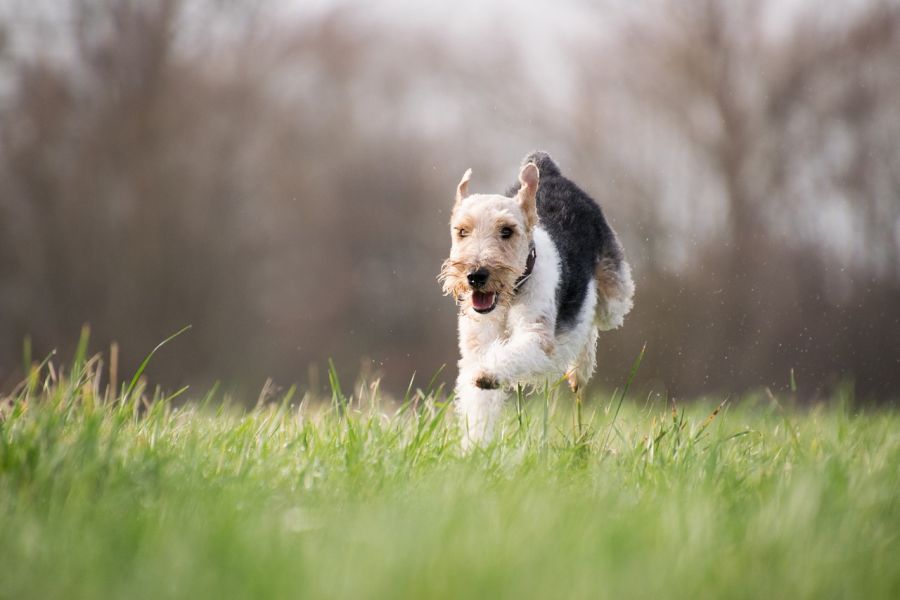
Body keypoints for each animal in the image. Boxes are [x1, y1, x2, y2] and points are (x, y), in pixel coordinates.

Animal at [436, 152, 632, 448]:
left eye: (507, 230)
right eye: (461, 231)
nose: (476, 275)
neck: (510, 296)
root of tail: (548, 169)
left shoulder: (537, 336)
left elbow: (513, 353)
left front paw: (488, 374)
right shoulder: (476, 347)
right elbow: (478, 402)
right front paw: (475, 448)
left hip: (614, 299)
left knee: (592, 319)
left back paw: (579, 372)